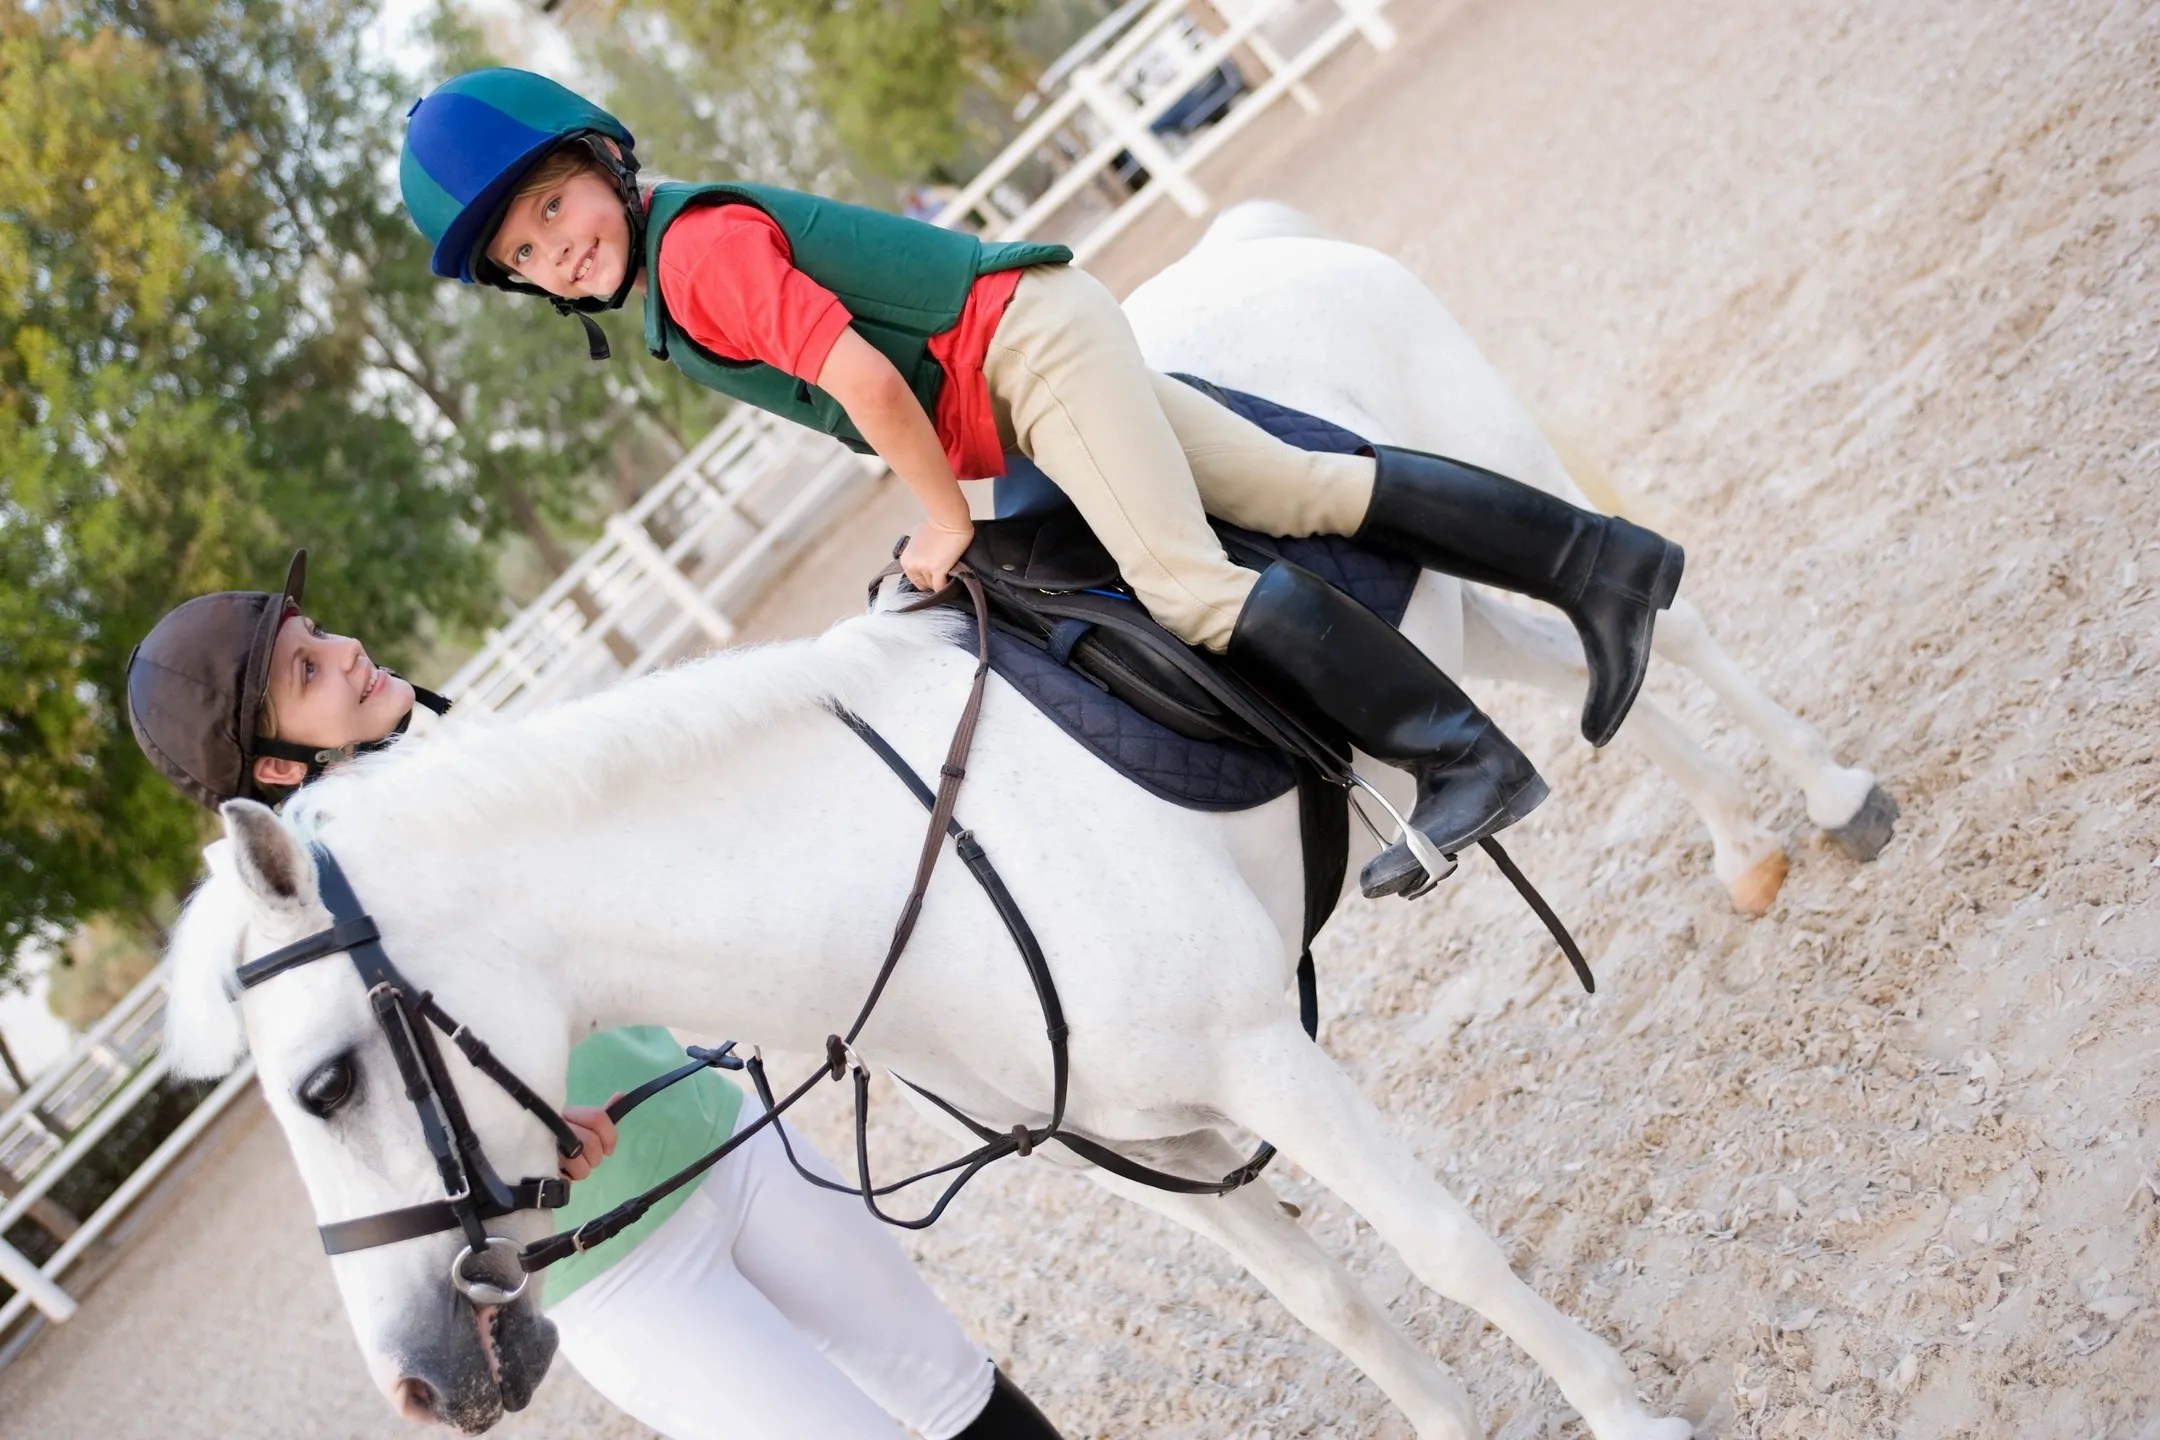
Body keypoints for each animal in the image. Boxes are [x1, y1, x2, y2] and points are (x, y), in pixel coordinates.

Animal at [1121, 201, 1898, 914]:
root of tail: (1239, 240)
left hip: (1475, 433)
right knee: (1566, 656)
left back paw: (1837, 798)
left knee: (1667, 621)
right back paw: (1736, 841)